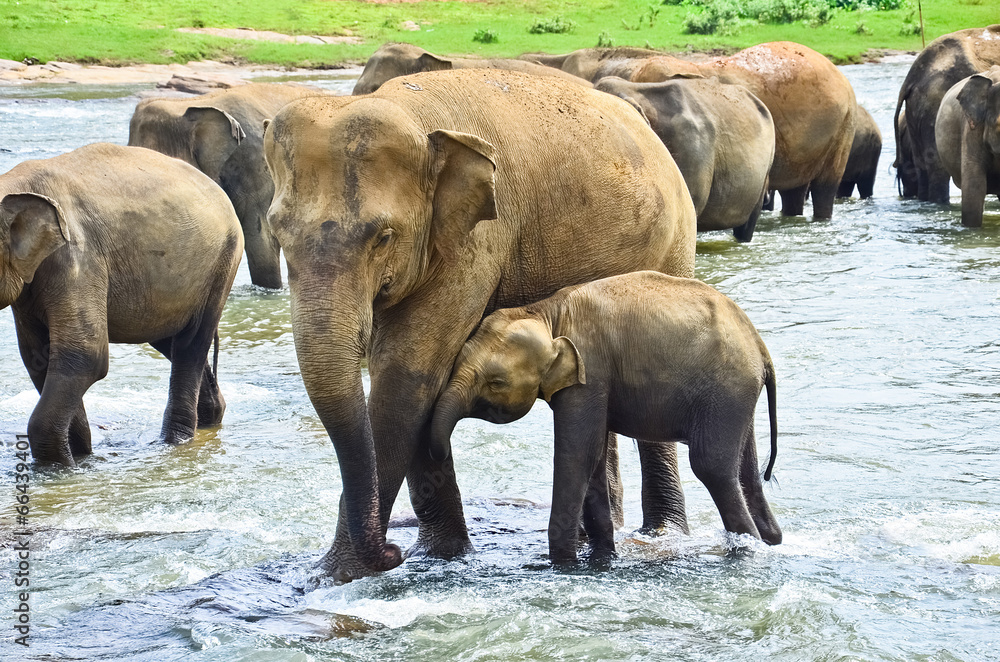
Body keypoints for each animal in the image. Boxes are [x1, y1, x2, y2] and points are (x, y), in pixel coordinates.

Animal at [0, 143, 243, 467]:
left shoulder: (77, 257)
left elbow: (85, 354)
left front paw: (59, 468)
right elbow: (38, 357)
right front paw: (81, 455)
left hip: (223, 262)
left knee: (191, 344)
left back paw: (173, 442)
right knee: (170, 340)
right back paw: (209, 418)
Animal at [263, 68, 697, 581]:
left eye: (383, 236)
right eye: (277, 233)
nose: (392, 550)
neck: (414, 116)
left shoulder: (477, 236)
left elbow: (407, 371)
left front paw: (338, 576)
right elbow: (414, 377)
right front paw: (440, 556)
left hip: (675, 245)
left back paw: (662, 536)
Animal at [429, 271, 781, 563]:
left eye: (496, 382)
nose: (441, 454)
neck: (547, 312)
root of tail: (760, 346)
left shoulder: (591, 373)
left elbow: (577, 453)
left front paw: (563, 563)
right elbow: (593, 457)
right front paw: (602, 558)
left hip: (725, 390)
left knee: (711, 466)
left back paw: (747, 550)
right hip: (735, 397)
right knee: (746, 470)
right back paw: (772, 539)